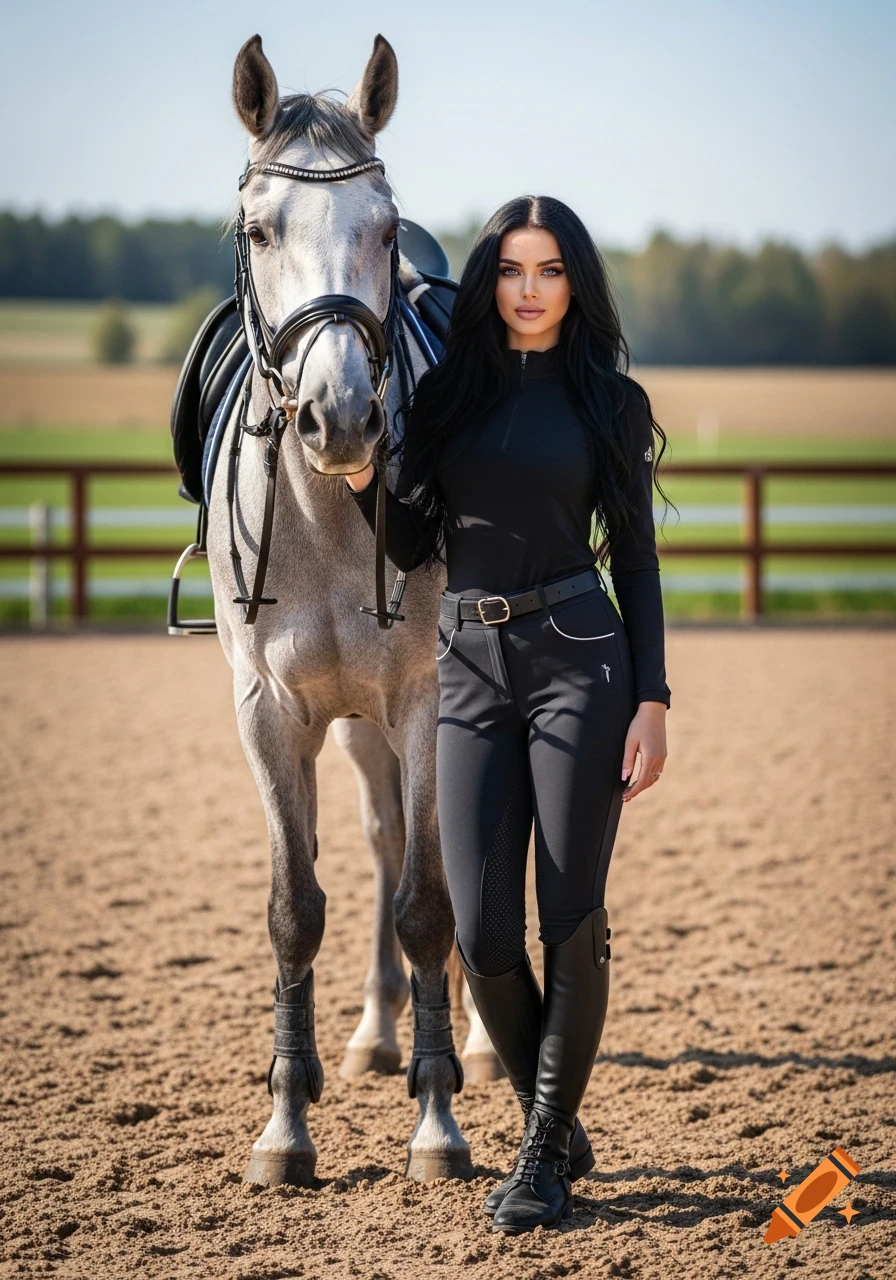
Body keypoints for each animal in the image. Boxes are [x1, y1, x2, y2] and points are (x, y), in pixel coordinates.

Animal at [204, 33, 499, 1187]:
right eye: (258, 229)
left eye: (382, 224)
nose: (340, 418)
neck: (331, 514)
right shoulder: (267, 712)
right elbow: (297, 910)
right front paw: (286, 1127)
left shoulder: (422, 700)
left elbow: (427, 902)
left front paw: (439, 1121)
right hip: (354, 727)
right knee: (379, 837)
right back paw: (378, 1034)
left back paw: (473, 1043)